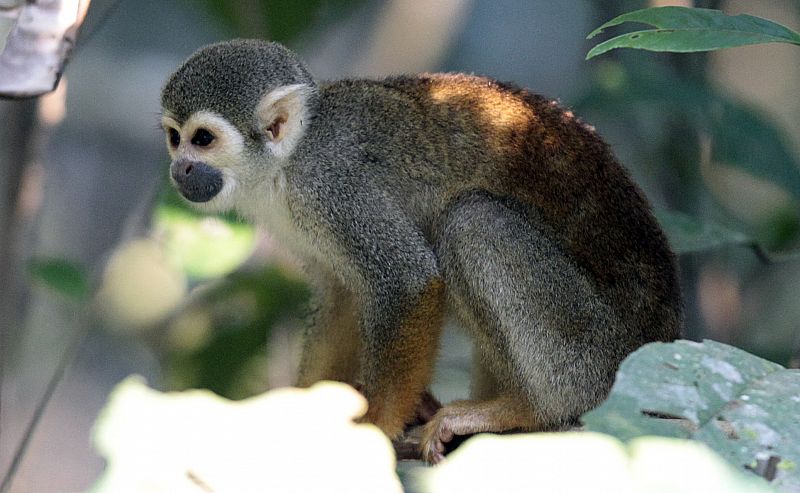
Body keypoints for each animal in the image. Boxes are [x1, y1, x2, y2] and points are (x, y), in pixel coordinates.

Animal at [161, 38, 680, 462]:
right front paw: (303, 415)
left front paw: (373, 430)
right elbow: (341, 295)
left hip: (595, 358)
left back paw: (527, 410)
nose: (179, 168)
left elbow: (407, 280)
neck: (286, 163)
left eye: (202, 139)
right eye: (173, 137)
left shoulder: (331, 184)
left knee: (472, 220)